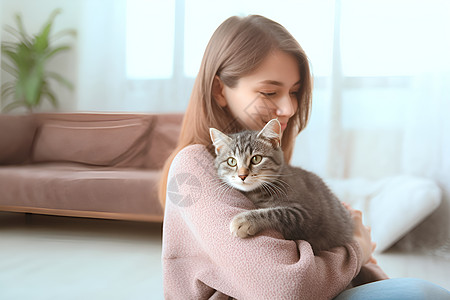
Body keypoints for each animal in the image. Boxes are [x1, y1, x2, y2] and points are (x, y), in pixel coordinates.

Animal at [211, 118, 356, 252]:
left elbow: (276, 212)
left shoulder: (306, 214)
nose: (242, 175)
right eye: (231, 161)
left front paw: (245, 220)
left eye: (256, 159)